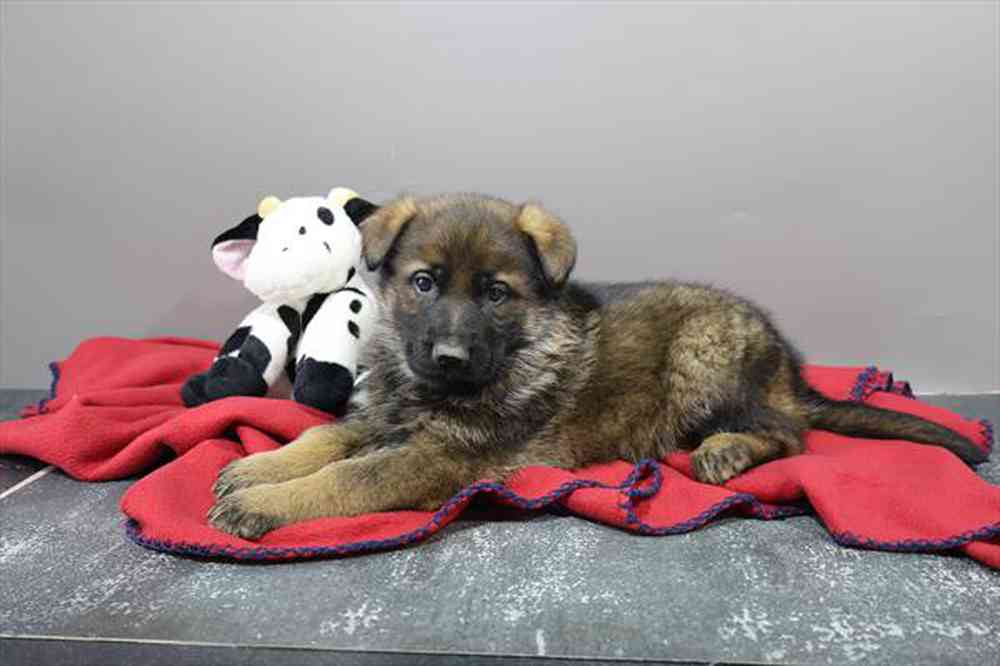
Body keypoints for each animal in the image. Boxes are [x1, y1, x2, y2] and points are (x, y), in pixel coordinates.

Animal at [208, 193, 986, 539]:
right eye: (423, 283)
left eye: (496, 294)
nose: (449, 356)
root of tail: (787, 365)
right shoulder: (389, 416)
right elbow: (325, 436)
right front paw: (260, 467)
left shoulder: (439, 459)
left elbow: (349, 478)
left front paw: (266, 502)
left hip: (702, 360)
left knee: (792, 434)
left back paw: (728, 450)